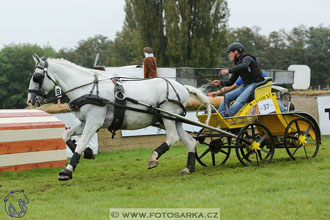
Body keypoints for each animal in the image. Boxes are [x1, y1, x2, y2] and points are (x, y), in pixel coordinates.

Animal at [27, 55, 210, 180]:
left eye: (37, 77)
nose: (30, 100)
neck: (89, 90)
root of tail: (183, 86)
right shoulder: (86, 122)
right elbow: (66, 135)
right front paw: (88, 153)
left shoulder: (94, 122)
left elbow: (82, 142)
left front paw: (67, 171)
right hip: (173, 119)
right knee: (190, 141)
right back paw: (189, 168)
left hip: (167, 115)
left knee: (172, 138)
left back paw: (153, 158)